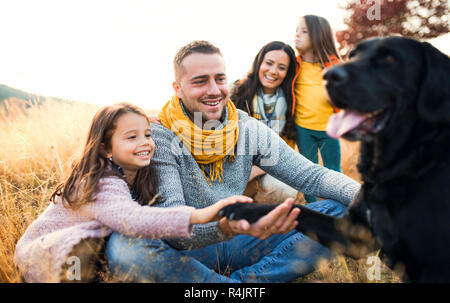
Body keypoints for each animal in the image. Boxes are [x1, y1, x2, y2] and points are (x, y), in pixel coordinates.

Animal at [221, 36, 450, 284]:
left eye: (390, 58)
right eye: (352, 55)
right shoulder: (354, 235)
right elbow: (299, 209)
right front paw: (244, 209)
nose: (329, 76)